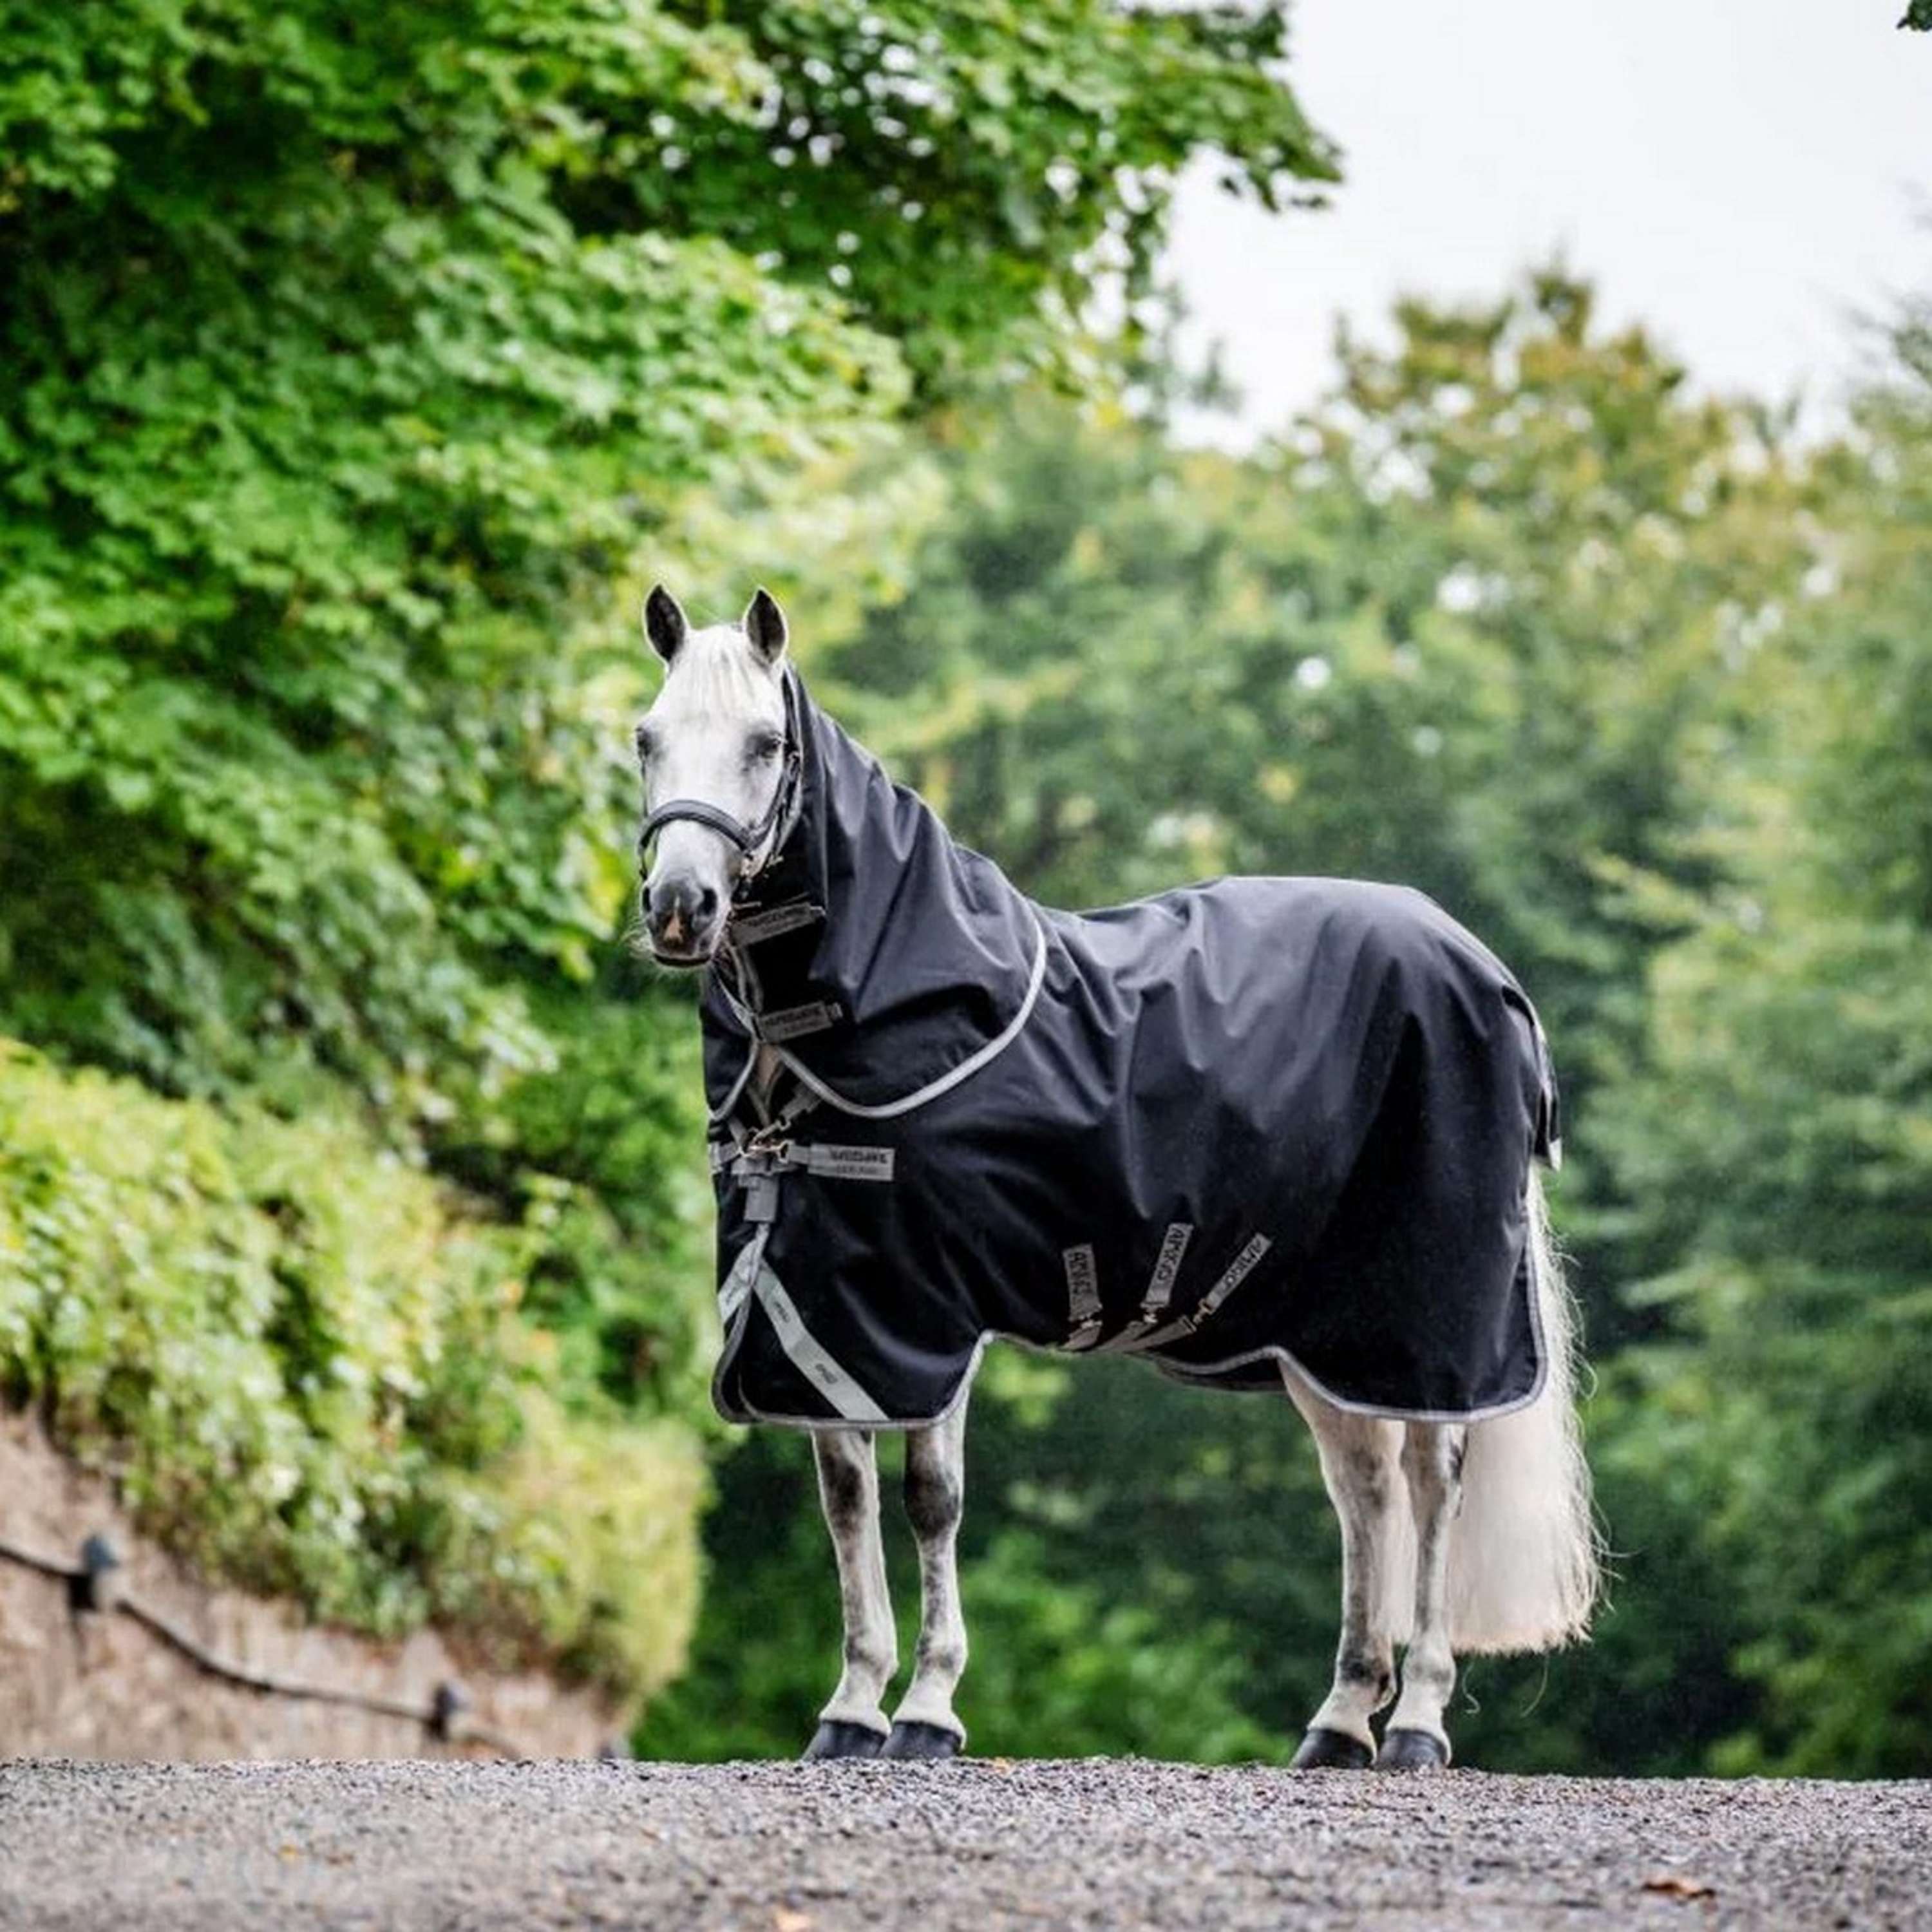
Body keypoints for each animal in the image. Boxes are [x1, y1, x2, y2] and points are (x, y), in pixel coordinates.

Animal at [633, 584, 1599, 1771]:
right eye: (647, 738)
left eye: (766, 745)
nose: (680, 908)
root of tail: (1488, 971)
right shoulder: (826, 1311)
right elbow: (847, 1501)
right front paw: (850, 1708)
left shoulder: (928, 1309)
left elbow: (931, 1498)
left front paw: (927, 1710)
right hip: (1338, 1334)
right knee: (1366, 1489)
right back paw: (1338, 1725)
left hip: (1434, 1318)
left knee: (1432, 1482)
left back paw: (1414, 1722)